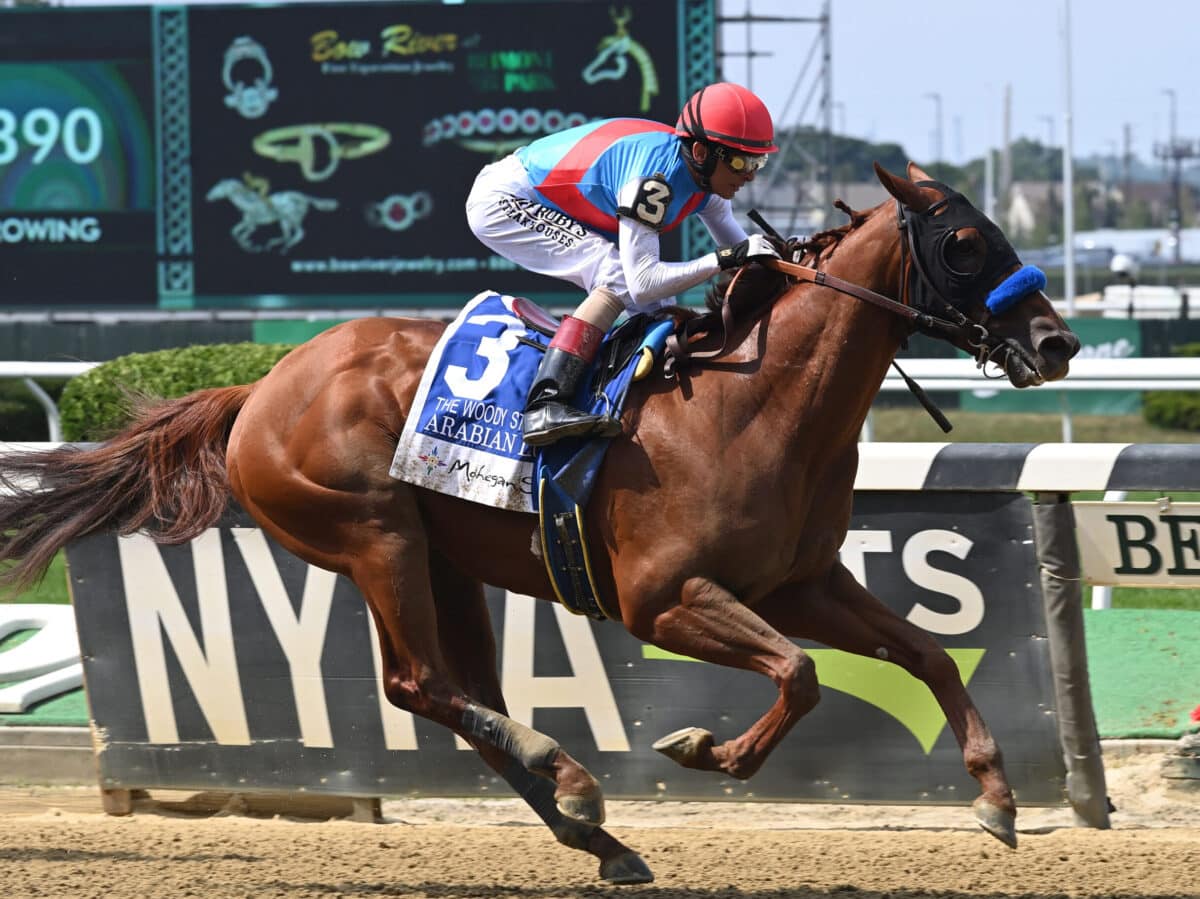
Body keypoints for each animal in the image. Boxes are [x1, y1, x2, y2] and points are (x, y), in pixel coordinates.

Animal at [0, 163, 1080, 883]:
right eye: (964, 243)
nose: (1057, 342)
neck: (758, 400)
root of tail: (260, 385)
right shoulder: (662, 598)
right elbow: (800, 674)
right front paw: (709, 750)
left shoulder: (802, 582)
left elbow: (924, 652)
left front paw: (994, 795)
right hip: (374, 534)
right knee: (417, 683)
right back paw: (573, 779)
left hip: (445, 561)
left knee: (464, 693)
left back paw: (595, 833)